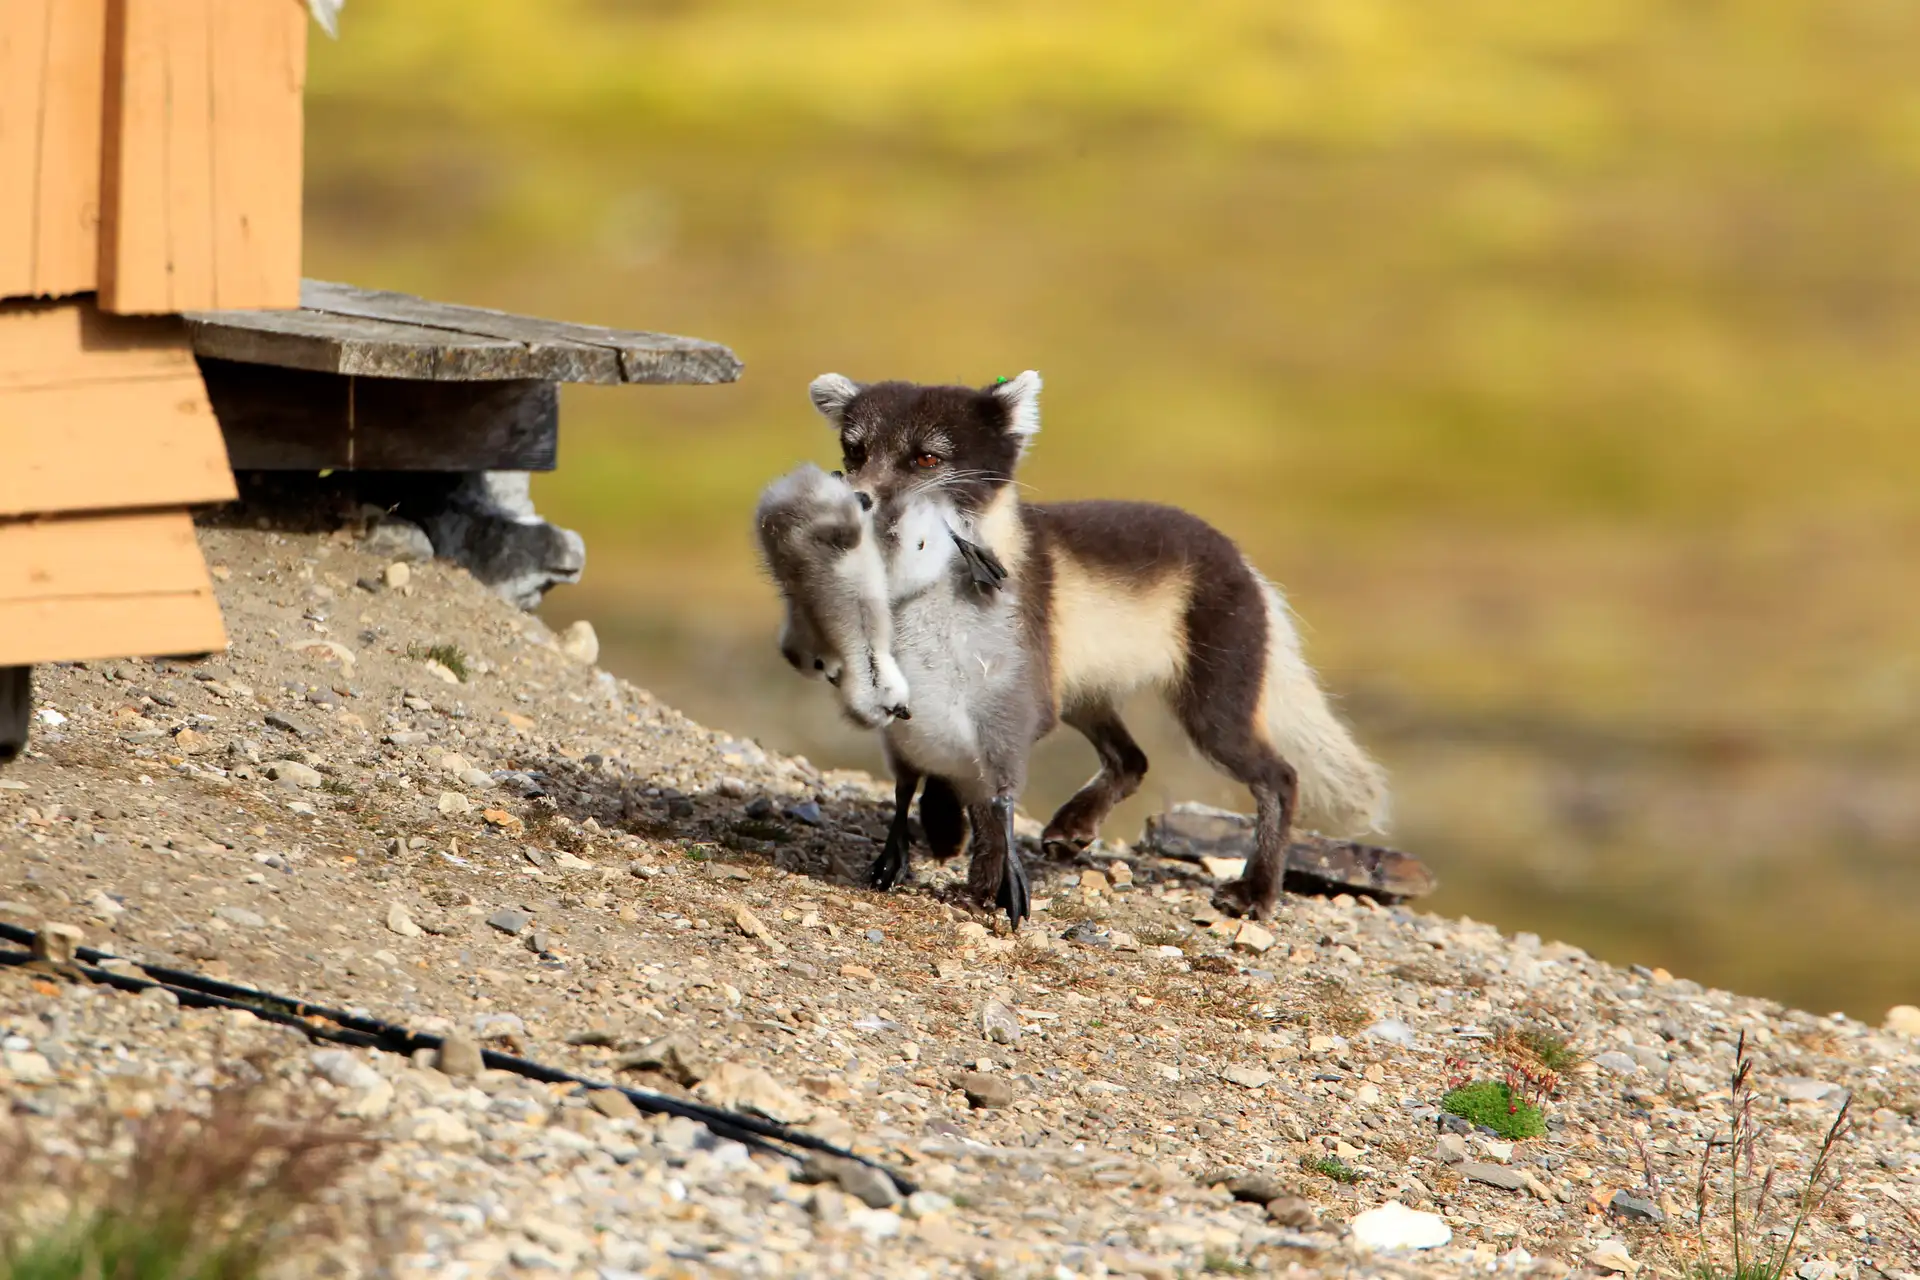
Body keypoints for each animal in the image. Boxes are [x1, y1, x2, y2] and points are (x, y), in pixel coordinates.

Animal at [805, 369, 1389, 926]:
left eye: (927, 457)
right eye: (855, 451)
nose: (854, 498)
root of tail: (1244, 564)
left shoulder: (1016, 703)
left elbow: (988, 792)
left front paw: (986, 878)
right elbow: (938, 763)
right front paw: (943, 829)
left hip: (1213, 708)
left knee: (1279, 778)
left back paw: (1256, 891)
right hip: (1084, 697)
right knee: (1132, 759)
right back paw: (1072, 827)